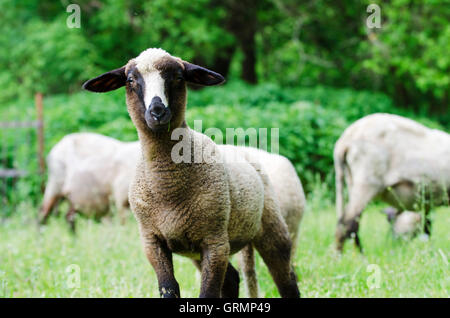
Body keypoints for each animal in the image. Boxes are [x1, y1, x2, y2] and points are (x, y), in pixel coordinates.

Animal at [336, 113, 448, 251]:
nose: (395, 242)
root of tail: (344, 141)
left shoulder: (425, 204)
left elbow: (427, 228)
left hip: (351, 180)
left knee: (350, 226)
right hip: (367, 181)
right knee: (346, 224)